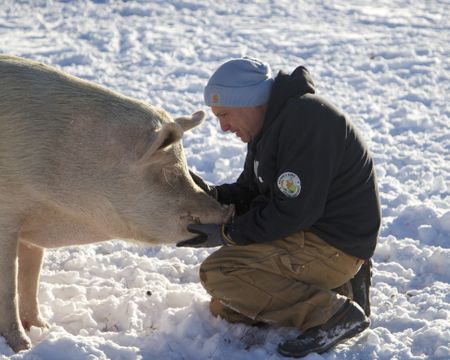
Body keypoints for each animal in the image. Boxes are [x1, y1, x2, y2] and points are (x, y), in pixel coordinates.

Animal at [0, 54, 230, 352]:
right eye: (169, 169)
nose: (227, 210)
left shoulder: (32, 227)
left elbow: (30, 278)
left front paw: (44, 329)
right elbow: (9, 288)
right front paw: (22, 347)